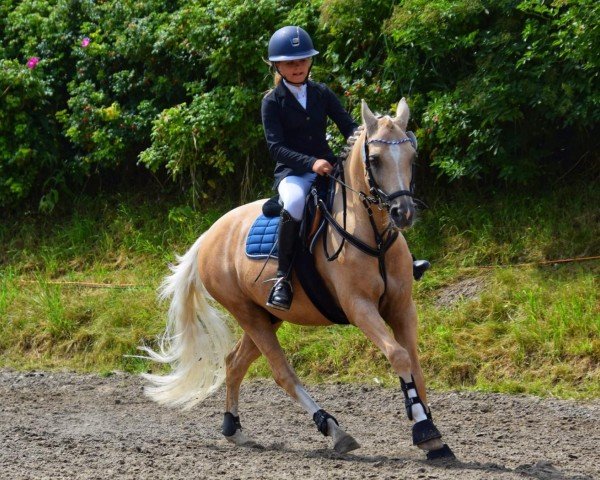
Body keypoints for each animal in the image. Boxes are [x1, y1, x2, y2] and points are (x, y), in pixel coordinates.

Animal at [144, 99, 454, 460]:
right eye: (375, 159)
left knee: (234, 363)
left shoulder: (402, 307)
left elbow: (415, 365)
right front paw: (423, 429)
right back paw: (334, 430)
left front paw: (432, 435)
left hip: (266, 316)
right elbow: (399, 355)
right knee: (282, 374)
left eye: (411, 157)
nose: (403, 213)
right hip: (248, 314)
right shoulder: (360, 308)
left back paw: (233, 428)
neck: (373, 237)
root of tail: (209, 235)